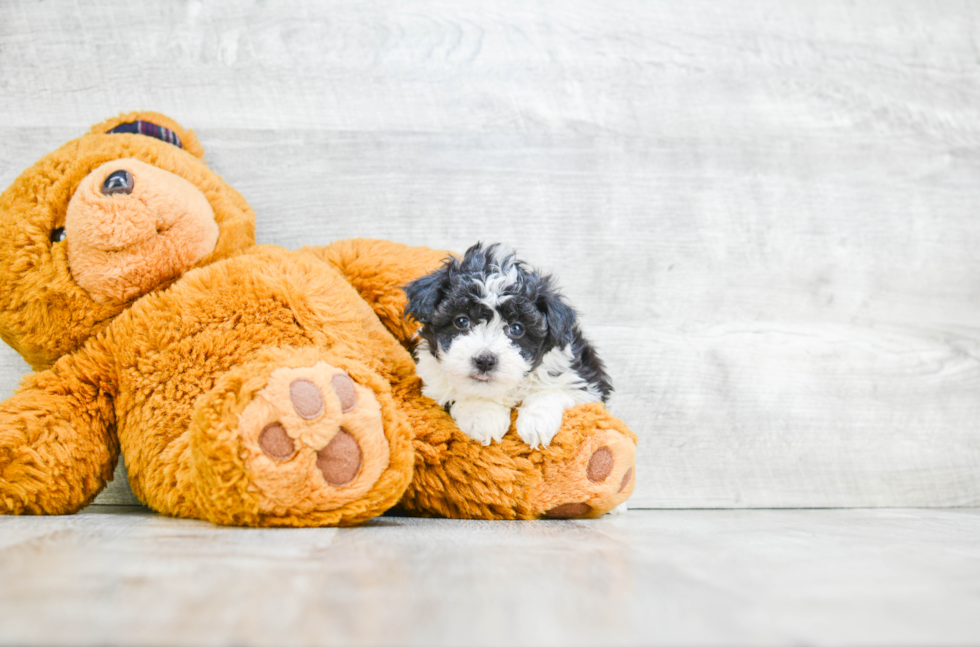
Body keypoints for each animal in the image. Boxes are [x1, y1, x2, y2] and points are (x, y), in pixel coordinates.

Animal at [402, 243, 608, 450]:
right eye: (461, 321)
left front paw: (537, 423)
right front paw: (482, 416)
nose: (485, 361)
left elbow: (553, 388)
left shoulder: (586, 381)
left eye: (516, 328)